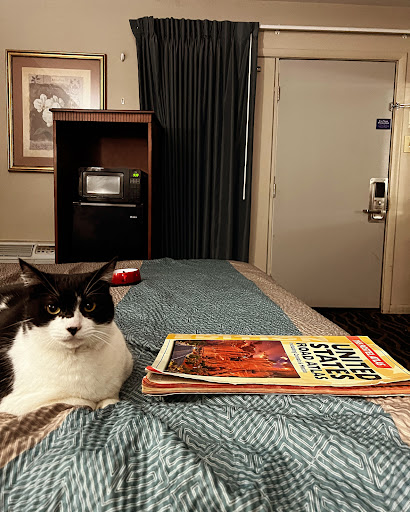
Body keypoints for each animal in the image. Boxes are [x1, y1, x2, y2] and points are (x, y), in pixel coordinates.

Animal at [0, 258, 133, 416]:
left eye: (89, 306)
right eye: (52, 308)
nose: (73, 327)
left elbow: (111, 397)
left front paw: (107, 401)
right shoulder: (13, 402)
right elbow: (78, 401)